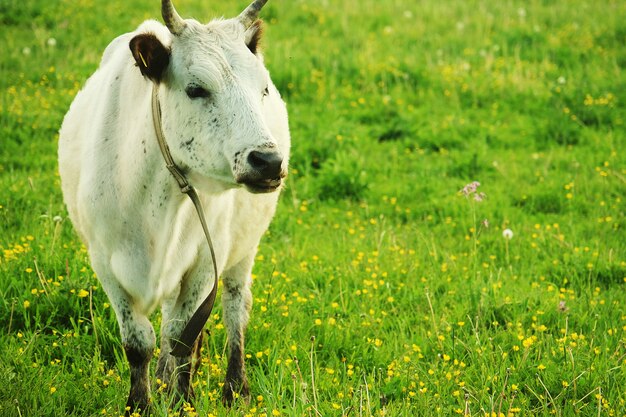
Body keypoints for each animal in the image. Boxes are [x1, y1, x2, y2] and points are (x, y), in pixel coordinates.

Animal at [57, 0, 288, 412]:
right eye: (196, 89)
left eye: (263, 88)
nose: (269, 161)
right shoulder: (104, 261)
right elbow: (139, 342)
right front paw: (140, 404)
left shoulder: (205, 260)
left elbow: (183, 336)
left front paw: (183, 402)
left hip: (242, 251)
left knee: (234, 308)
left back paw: (235, 388)